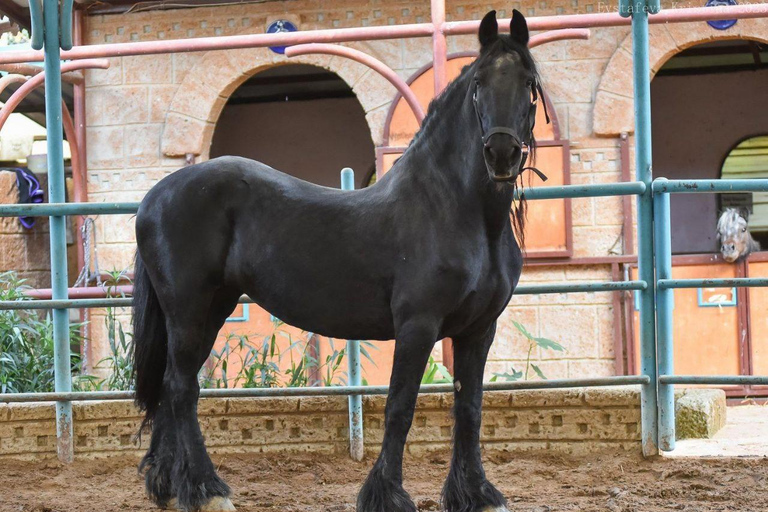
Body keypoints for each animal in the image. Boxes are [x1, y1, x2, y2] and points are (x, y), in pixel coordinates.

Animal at [132, 10, 543, 512]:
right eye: (479, 83)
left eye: (529, 82)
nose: (501, 154)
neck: (457, 210)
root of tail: (155, 196)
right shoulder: (418, 325)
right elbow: (400, 406)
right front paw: (387, 495)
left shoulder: (478, 330)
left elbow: (470, 407)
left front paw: (478, 494)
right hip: (189, 309)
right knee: (181, 388)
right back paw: (208, 490)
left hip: (212, 308)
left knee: (172, 385)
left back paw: (170, 486)